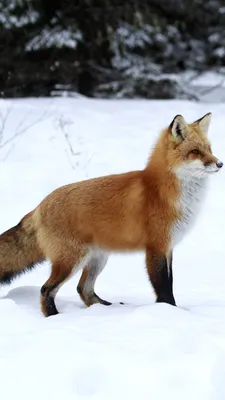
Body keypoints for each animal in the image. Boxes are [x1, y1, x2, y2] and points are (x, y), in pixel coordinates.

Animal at [0, 112, 222, 316]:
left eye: (209, 150)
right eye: (195, 152)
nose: (220, 164)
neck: (163, 191)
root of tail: (39, 205)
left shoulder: (168, 248)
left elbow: (170, 283)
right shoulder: (156, 247)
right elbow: (163, 288)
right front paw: (170, 312)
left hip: (97, 258)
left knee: (83, 289)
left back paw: (107, 308)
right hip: (72, 260)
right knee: (46, 289)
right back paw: (54, 317)